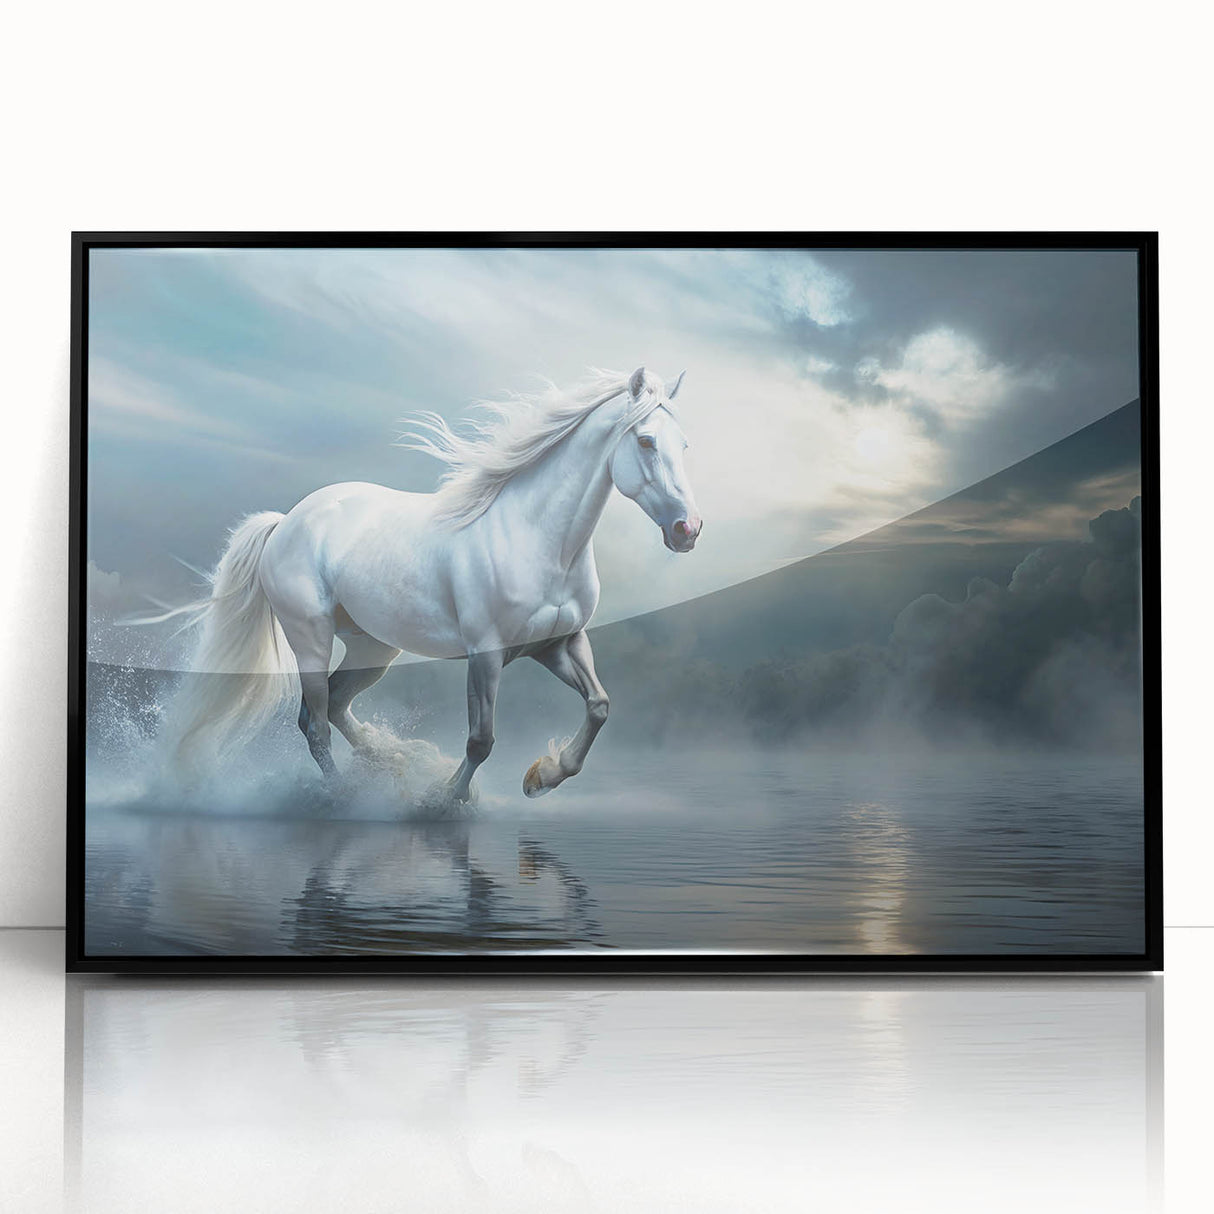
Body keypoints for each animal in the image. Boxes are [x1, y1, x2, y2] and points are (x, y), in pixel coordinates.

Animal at [169, 366, 701, 801]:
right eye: (647, 441)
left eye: (684, 444)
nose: (688, 530)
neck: (536, 540)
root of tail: (285, 522)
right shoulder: (485, 654)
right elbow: (481, 739)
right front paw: (444, 801)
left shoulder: (560, 643)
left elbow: (599, 705)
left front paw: (541, 777)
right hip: (311, 640)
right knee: (314, 722)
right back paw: (346, 795)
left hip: (374, 647)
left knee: (335, 707)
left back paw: (392, 761)